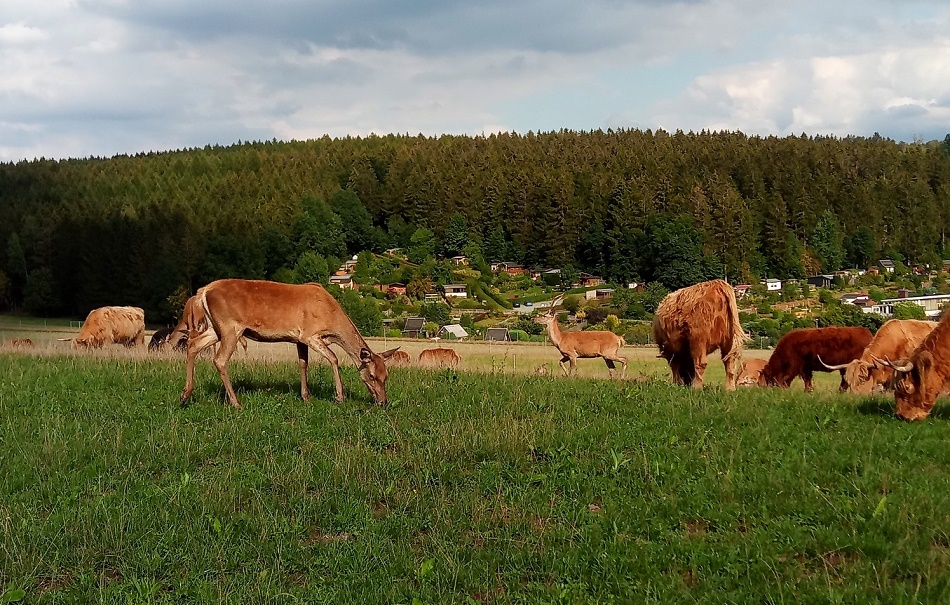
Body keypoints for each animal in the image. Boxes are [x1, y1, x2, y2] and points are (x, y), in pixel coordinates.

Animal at [177, 280, 400, 408]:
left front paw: (306, 397)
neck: (331, 319)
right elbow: (334, 358)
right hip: (230, 326)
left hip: (216, 328)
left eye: (386, 376)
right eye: (371, 375)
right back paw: (236, 402)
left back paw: (185, 394)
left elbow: (303, 363)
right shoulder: (310, 334)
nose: (383, 401)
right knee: (219, 359)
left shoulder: (299, 339)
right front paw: (339, 396)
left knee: (193, 344)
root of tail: (203, 292)